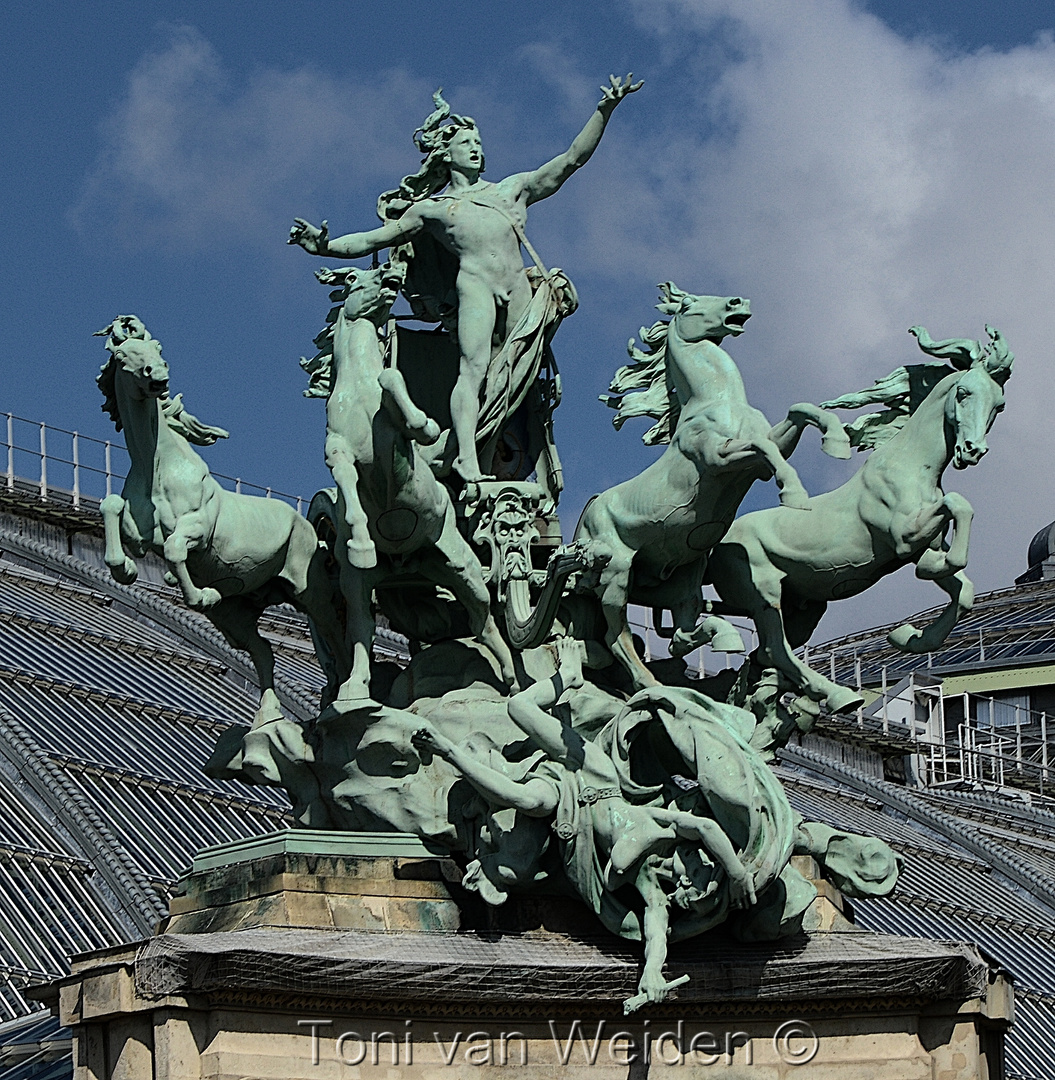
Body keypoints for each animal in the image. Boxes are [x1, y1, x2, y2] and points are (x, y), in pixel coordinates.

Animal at [708, 324, 1010, 712]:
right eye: (963, 392)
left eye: (999, 404)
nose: (972, 450)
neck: (911, 466)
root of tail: (716, 544)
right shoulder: (904, 537)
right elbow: (958, 508)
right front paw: (931, 573)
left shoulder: (922, 545)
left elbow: (965, 592)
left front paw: (908, 637)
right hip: (763, 590)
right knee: (776, 648)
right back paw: (838, 696)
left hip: (805, 609)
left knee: (764, 654)